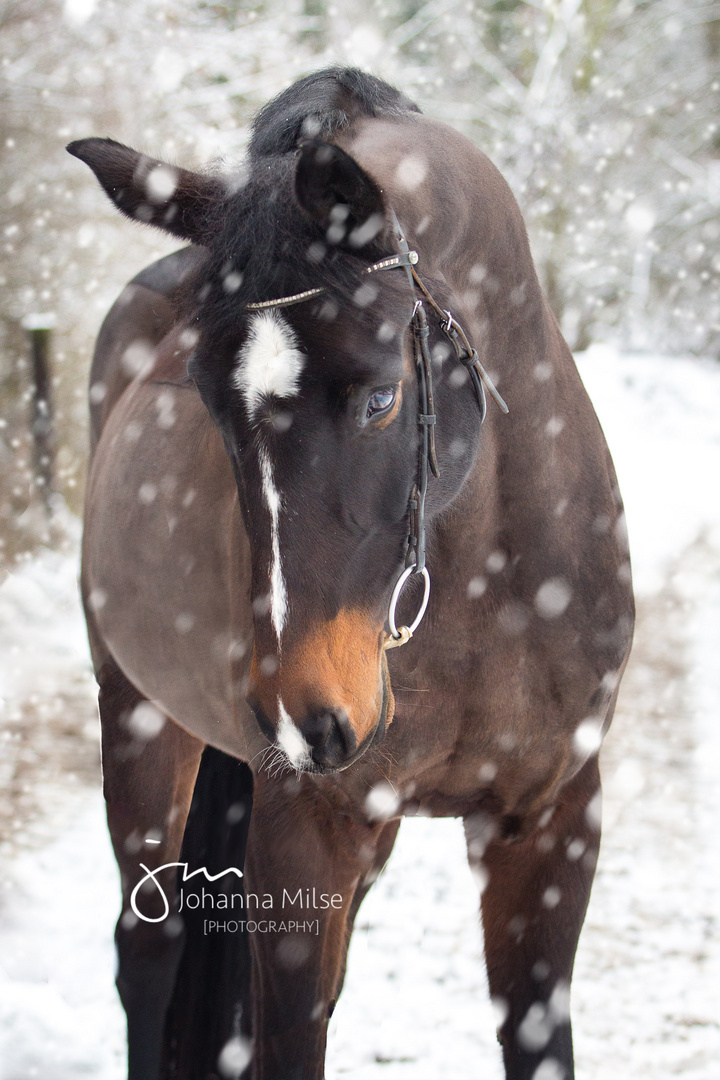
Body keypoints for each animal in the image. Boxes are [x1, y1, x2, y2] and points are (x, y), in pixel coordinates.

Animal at [67, 67, 630, 1080]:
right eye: (208, 402)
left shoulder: (552, 820)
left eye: (380, 397)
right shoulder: (306, 835)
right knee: (149, 950)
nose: (303, 714)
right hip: (137, 714)